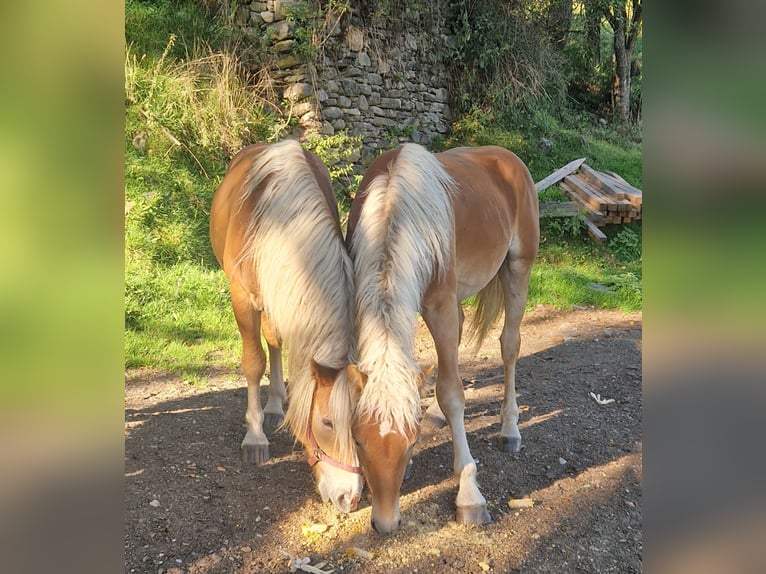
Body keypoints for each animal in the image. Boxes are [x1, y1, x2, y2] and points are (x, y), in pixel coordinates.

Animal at [210, 139, 363, 514]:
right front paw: (254, 437)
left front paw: (277, 406)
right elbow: (253, 363)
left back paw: (276, 405)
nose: (350, 498)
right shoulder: (242, 297)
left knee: (275, 339)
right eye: (326, 422)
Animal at [345, 143, 539, 534]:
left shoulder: (440, 306)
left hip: (518, 269)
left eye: (412, 442)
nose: (385, 523)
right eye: (358, 439)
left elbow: (453, 392)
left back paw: (510, 429)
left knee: (509, 346)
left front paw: (469, 496)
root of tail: (508, 158)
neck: (397, 207)